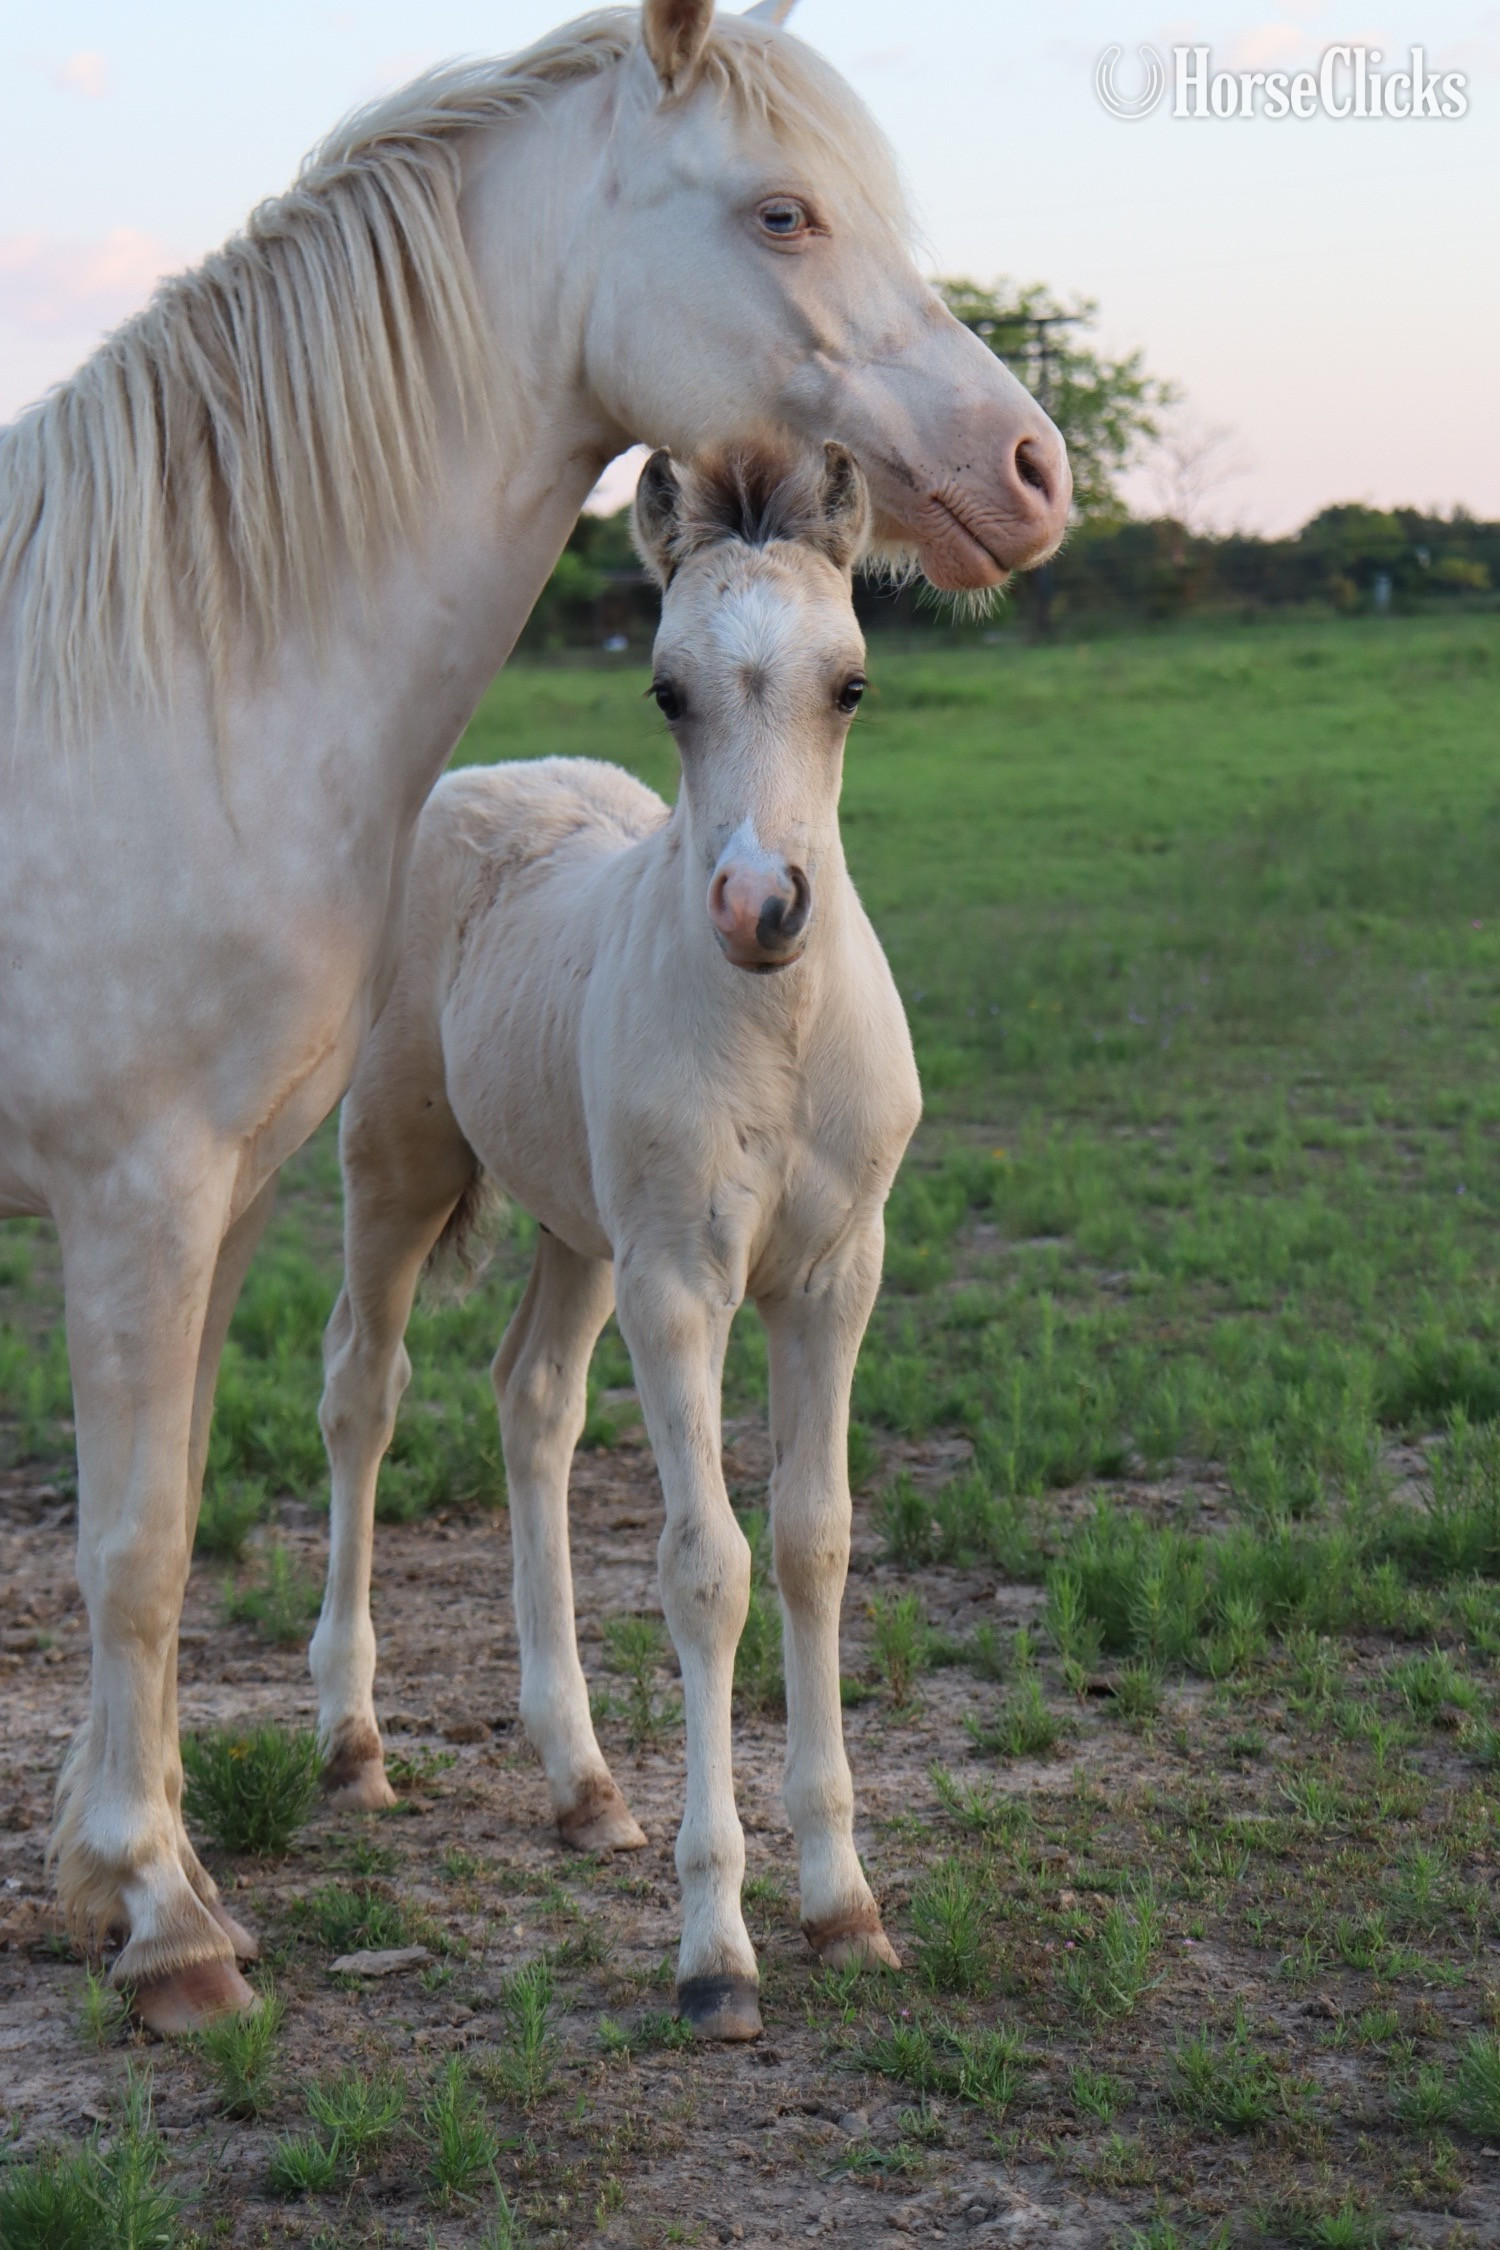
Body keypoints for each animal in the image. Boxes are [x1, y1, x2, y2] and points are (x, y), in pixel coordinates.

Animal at [314, 441, 917, 2040]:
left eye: (850, 682)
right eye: (667, 689)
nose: (763, 903)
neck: (776, 1028)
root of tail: (482, 776)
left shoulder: (833, 1281)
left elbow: (815, 1542)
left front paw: (844, 1902)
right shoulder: (682, 1288)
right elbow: (708, 1565)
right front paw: (717, 1951)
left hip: (577, 1226)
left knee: (531, 1399)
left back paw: (581, 1782)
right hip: (399, 1169)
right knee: (361, 1394)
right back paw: (352, 1743)